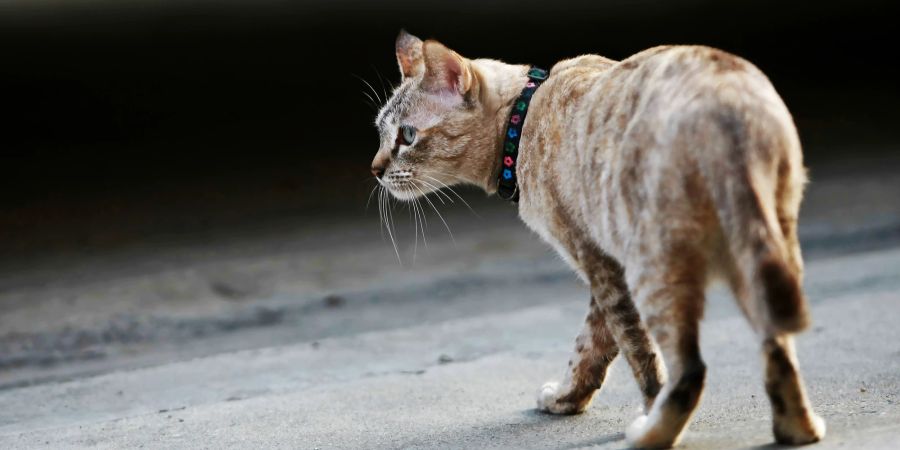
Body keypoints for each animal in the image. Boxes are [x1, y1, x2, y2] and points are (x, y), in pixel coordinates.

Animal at [370, 29, 828, 448]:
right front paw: (566, 399)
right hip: (765, 248)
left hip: (654, 265)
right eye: (379, 132)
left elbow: (635, 353)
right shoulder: (605, 264)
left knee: (690, 370)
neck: (524, 115)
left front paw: (634, 407)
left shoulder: (597, 258)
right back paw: (798, 431)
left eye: (406, 137)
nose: (374, 169)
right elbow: (592, 344)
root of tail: (726, 104)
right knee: (777, 342)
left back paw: (652, 433)